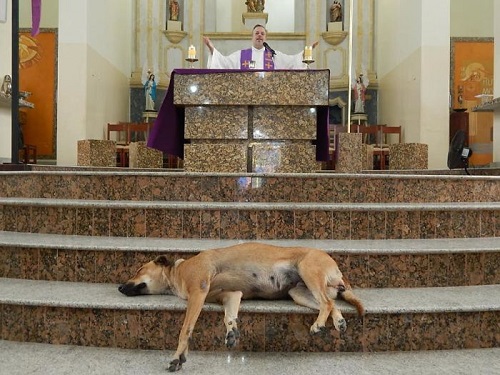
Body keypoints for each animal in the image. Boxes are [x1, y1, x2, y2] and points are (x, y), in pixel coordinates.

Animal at [119, 242, 366, 372]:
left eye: (139, 269)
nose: (120, 287)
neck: (177, 272)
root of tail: (336, 268)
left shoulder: (198, 292)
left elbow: (185, 329)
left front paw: (177, 356)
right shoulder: (230, 295)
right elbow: (229, 316)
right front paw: (231, 331)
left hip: (308, 269)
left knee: (326, 302)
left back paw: (318, 325)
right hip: (298, 293)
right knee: (332, 303)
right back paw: (338, 321)